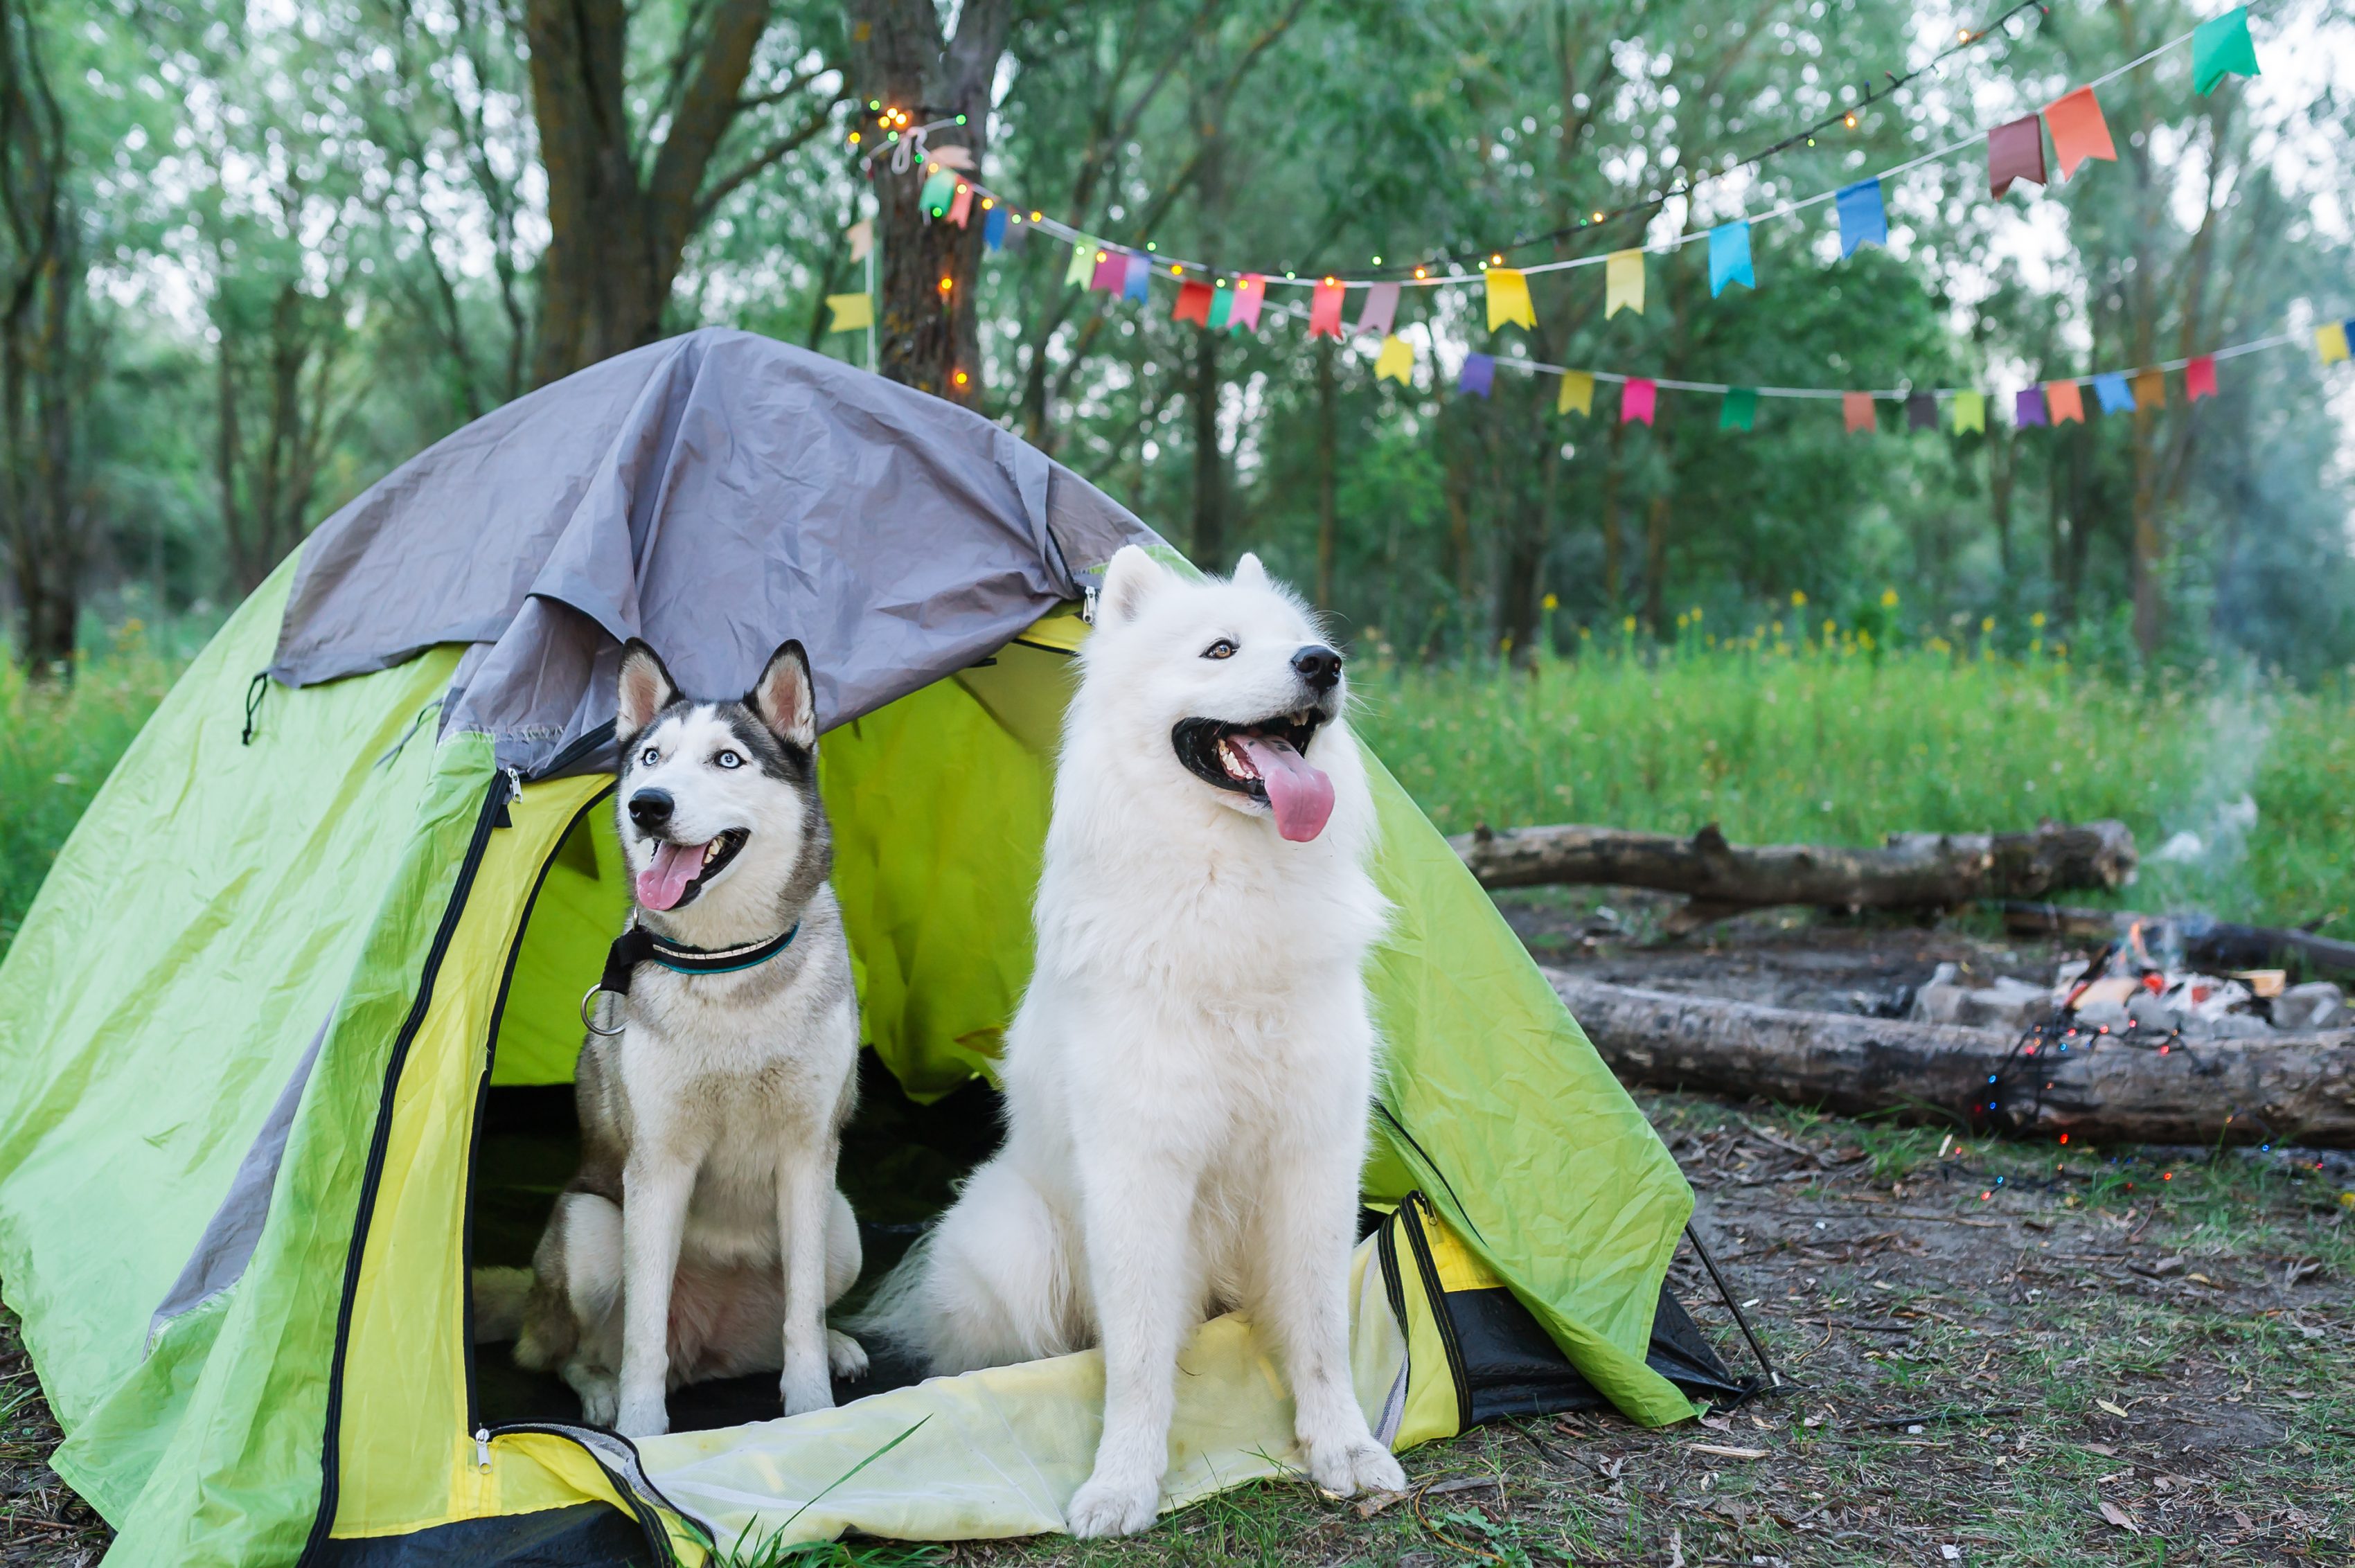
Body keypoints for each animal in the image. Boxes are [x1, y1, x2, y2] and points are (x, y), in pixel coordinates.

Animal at [871, 544, 1403, 1535]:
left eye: (1299, 640)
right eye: (1220, 648)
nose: (1323, 663)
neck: (1228, 888)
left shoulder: (1313, 1156)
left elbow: (1320, 1330)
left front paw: (1343, 1448)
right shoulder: (1139, 1171)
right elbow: (1140, 1355)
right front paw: (1121, 1482)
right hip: (1016, 1241)